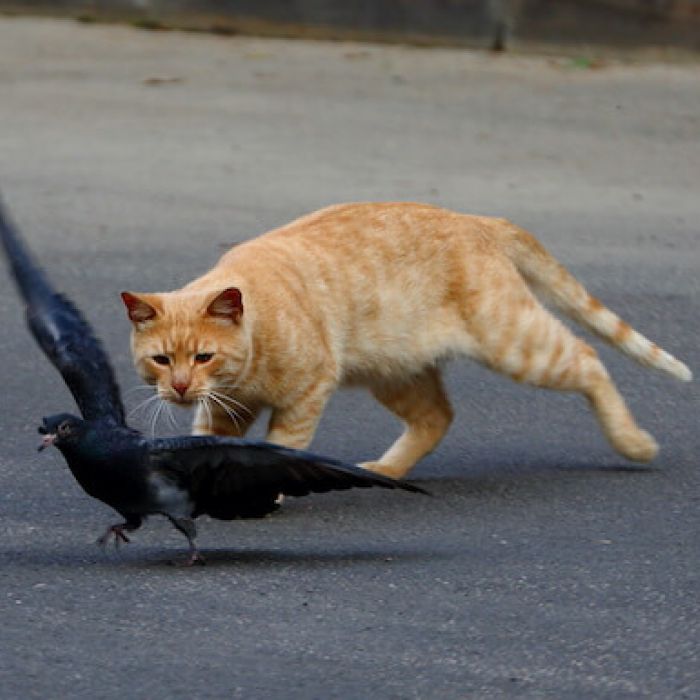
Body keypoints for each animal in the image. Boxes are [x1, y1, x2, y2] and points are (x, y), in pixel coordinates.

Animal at [120, 200, 688, 478]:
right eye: (161, 360)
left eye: (204, 356)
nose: (180, 388)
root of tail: (474, 218)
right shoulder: (222, 412)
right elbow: (209, 444)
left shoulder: (306, 394)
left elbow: (284, 445)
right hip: (395, 372)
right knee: (437, 417)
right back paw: (390, 470)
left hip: (516, 342)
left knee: (590, 359)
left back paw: (633, 442)